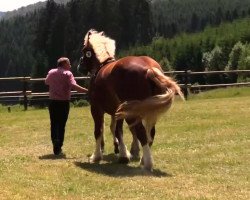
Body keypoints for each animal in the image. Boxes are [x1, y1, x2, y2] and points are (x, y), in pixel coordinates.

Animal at [78, 29, 184, 170]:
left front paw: (96, 156)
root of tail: (148, 68)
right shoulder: (118, 112)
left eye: (84, 50)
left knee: (142, 133)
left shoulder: (96, 109)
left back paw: (147, 163)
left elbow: (99, 131)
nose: (79, 66)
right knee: (150, 134)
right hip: (148, 111)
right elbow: (118, 131)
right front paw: (123, 155)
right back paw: (143, 160)